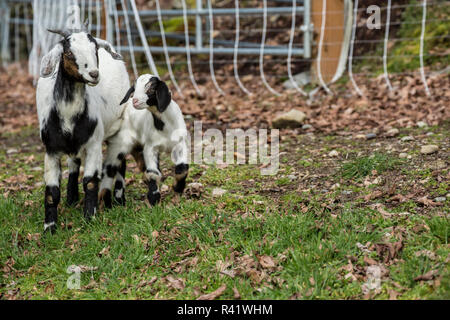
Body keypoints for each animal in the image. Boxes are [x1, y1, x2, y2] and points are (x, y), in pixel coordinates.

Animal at [36, 28, 129, 232]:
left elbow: (91, 182)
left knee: (121, 161)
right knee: (73, 163)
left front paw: (89, 218)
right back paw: (71, 199)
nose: (93, 74)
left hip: (119, 127)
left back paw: (119, 200)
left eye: (95, 49)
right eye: (69, 53)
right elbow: (52, 192)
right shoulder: (51, 150)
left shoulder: (94, 144)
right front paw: (49, 228)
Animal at [99, 74, 189, 206]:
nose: (135, 101)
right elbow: (153, 173)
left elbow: (182, 169)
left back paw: (120, 200)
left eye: (151, 89)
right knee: (110, 168)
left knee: (126, 166)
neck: (163, 126)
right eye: (135, 88)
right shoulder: (150, 147)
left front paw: (178, 188)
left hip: (134, 147)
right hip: (118, 144)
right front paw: (154, 199)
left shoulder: (180, 144)